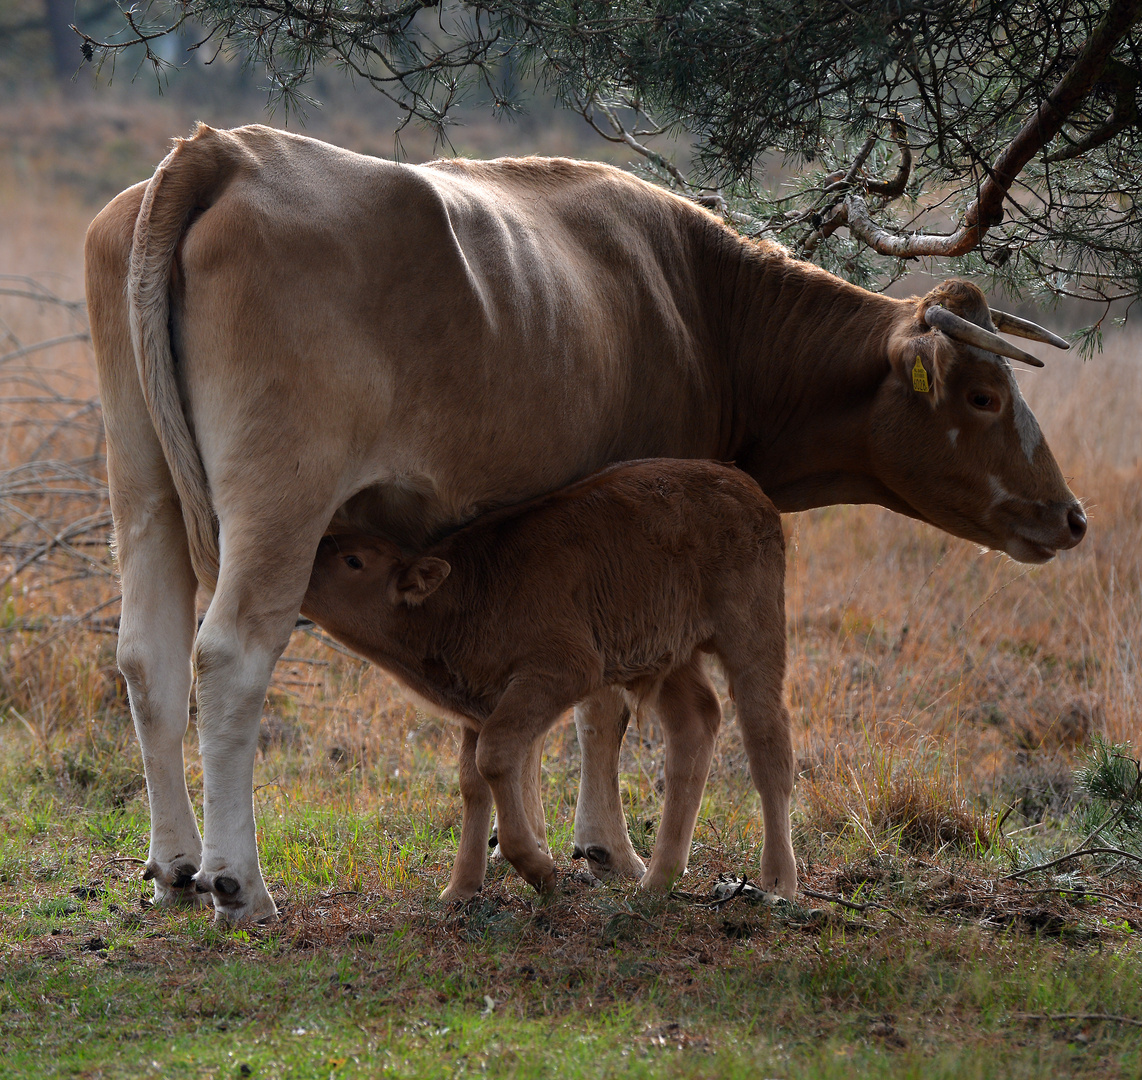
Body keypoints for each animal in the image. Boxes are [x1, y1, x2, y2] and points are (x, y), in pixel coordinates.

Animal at [301, 458, 794, 895]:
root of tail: (744, 485)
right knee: (694, 724)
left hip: (751, 635)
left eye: (353, 560)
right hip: (670, 655)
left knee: (766, 740)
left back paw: (777, 882)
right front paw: (459, 890)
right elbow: (472, 783)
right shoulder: (479, 703)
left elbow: (495, 757)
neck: (464, 595)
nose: (302, 574)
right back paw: (657, 881)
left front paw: (538, 869)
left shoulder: (559, 673)